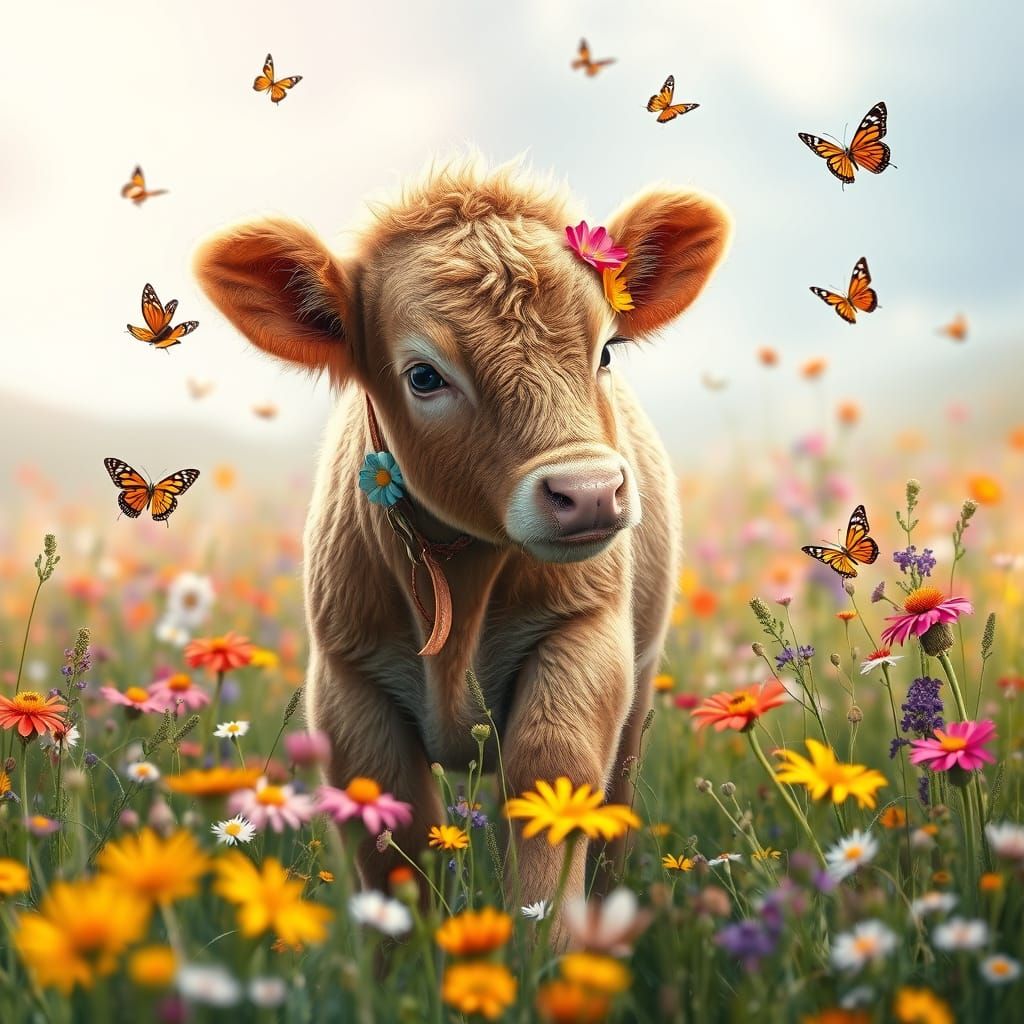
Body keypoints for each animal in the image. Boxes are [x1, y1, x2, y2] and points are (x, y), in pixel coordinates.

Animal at [194, 156, 731, 917]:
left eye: (605, 351)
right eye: (424, 375)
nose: (590, 492)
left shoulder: (585, 636)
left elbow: (551, 779)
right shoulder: (349, 684)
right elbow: (390, 831)